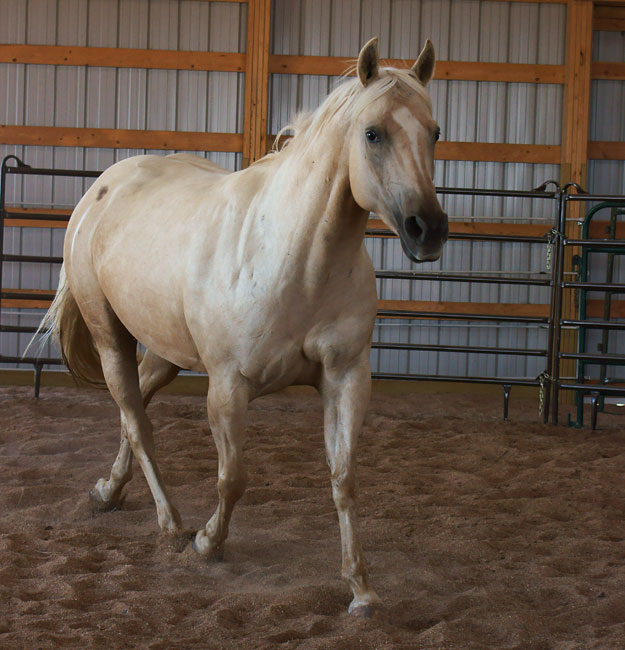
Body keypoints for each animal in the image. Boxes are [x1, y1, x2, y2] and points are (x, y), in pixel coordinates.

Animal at [38, 37, 448, 617]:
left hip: (164, 354)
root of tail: (104, 187)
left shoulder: (346, 379)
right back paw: (171, 524)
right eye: (373, 133)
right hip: (109, 336)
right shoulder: (229, 386)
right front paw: (208, 543)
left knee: (133, 409)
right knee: (136, 421)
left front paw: (361, 590)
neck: (297, 257)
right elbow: (233, 477)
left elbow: (344, 478)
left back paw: (109, 491)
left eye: (434, 132)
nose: (427, 230)